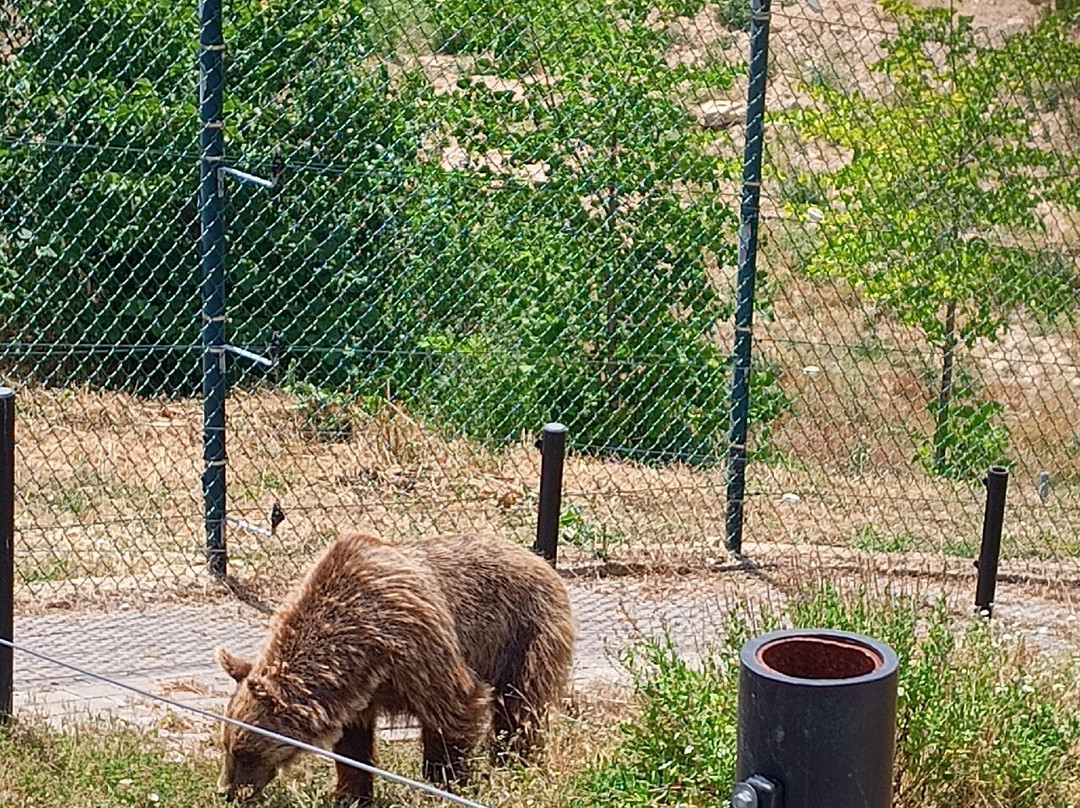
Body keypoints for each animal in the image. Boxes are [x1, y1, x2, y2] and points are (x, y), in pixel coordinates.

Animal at [215, 532, 576, 805]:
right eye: (227, 744)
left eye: (245, 752)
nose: (227, 791)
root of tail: (539, 558)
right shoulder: (358, 692)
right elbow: (353, 745)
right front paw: (350, 794)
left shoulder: (416, 647)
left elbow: (453, 711)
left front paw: (444, 784)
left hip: (522, 636)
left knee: (519, 709)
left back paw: (513, 765)